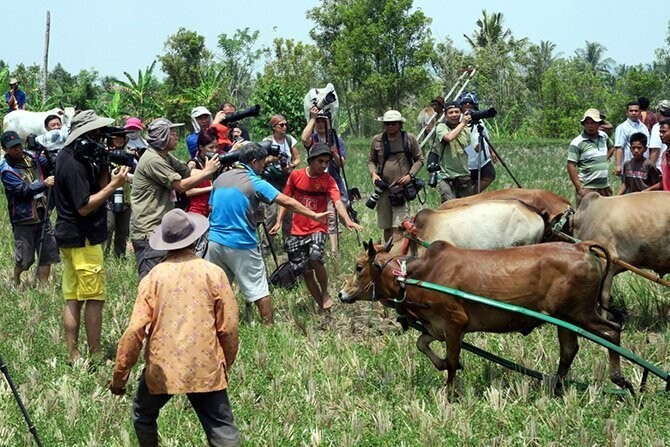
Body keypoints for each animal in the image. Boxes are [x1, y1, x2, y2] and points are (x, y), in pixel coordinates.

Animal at [342, 240, 636, 394]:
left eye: (358, 267)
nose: (342, 293)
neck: (416, 276)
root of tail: (581, 247)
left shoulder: (455, 323)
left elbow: (451, 361)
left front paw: (450, 393)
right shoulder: (436, 327)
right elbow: (423, 344)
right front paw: (442, 366)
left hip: (580, 313)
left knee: (611, 330)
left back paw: (620, 380)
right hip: (565, 318)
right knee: (569, 350)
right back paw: (555, 388)